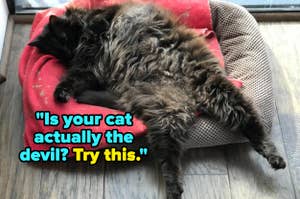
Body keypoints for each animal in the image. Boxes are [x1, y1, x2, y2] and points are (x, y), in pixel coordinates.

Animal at [29, 2, 286, 198]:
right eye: (57, 52)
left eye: (64, 39)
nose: (68, 54)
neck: (88, 23)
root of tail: (191, 99)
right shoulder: (91, 67)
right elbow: (75, 77)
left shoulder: (90, 58)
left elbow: (71, 78)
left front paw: (61, 93)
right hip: (168, 114)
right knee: (170, 157)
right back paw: (175, 189)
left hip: (217, 94)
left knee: (254, 128)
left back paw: (275, 158)